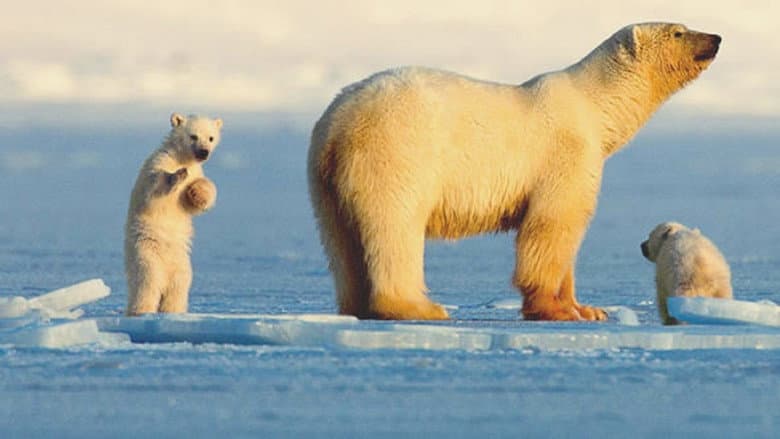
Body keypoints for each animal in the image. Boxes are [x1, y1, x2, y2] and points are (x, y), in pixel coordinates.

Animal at [125, 113, 222, 316]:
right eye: (193, 136)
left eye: (211, 138)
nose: (204, 152)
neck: (181, 158)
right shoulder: (158, 162)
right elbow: (153, 189)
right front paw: (178, 175)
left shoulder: (197, 171)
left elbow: (194, 201)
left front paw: (197, 192)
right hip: (146, 254)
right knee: (147, 284)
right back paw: (140, 311)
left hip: (182, 264)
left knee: (178, 288)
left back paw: (174, 312)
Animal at [308, 22, 721, 321]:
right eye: (678, 31)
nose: (716, 37)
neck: (594, 106)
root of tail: (339, 122)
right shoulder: (565, 154)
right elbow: (552, 226)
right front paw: (557, 310)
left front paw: (589, 309)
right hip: (396, 153)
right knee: (395, 227)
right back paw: (418, 307)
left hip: (324, 178)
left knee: (341, 242)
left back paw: (356, 305)